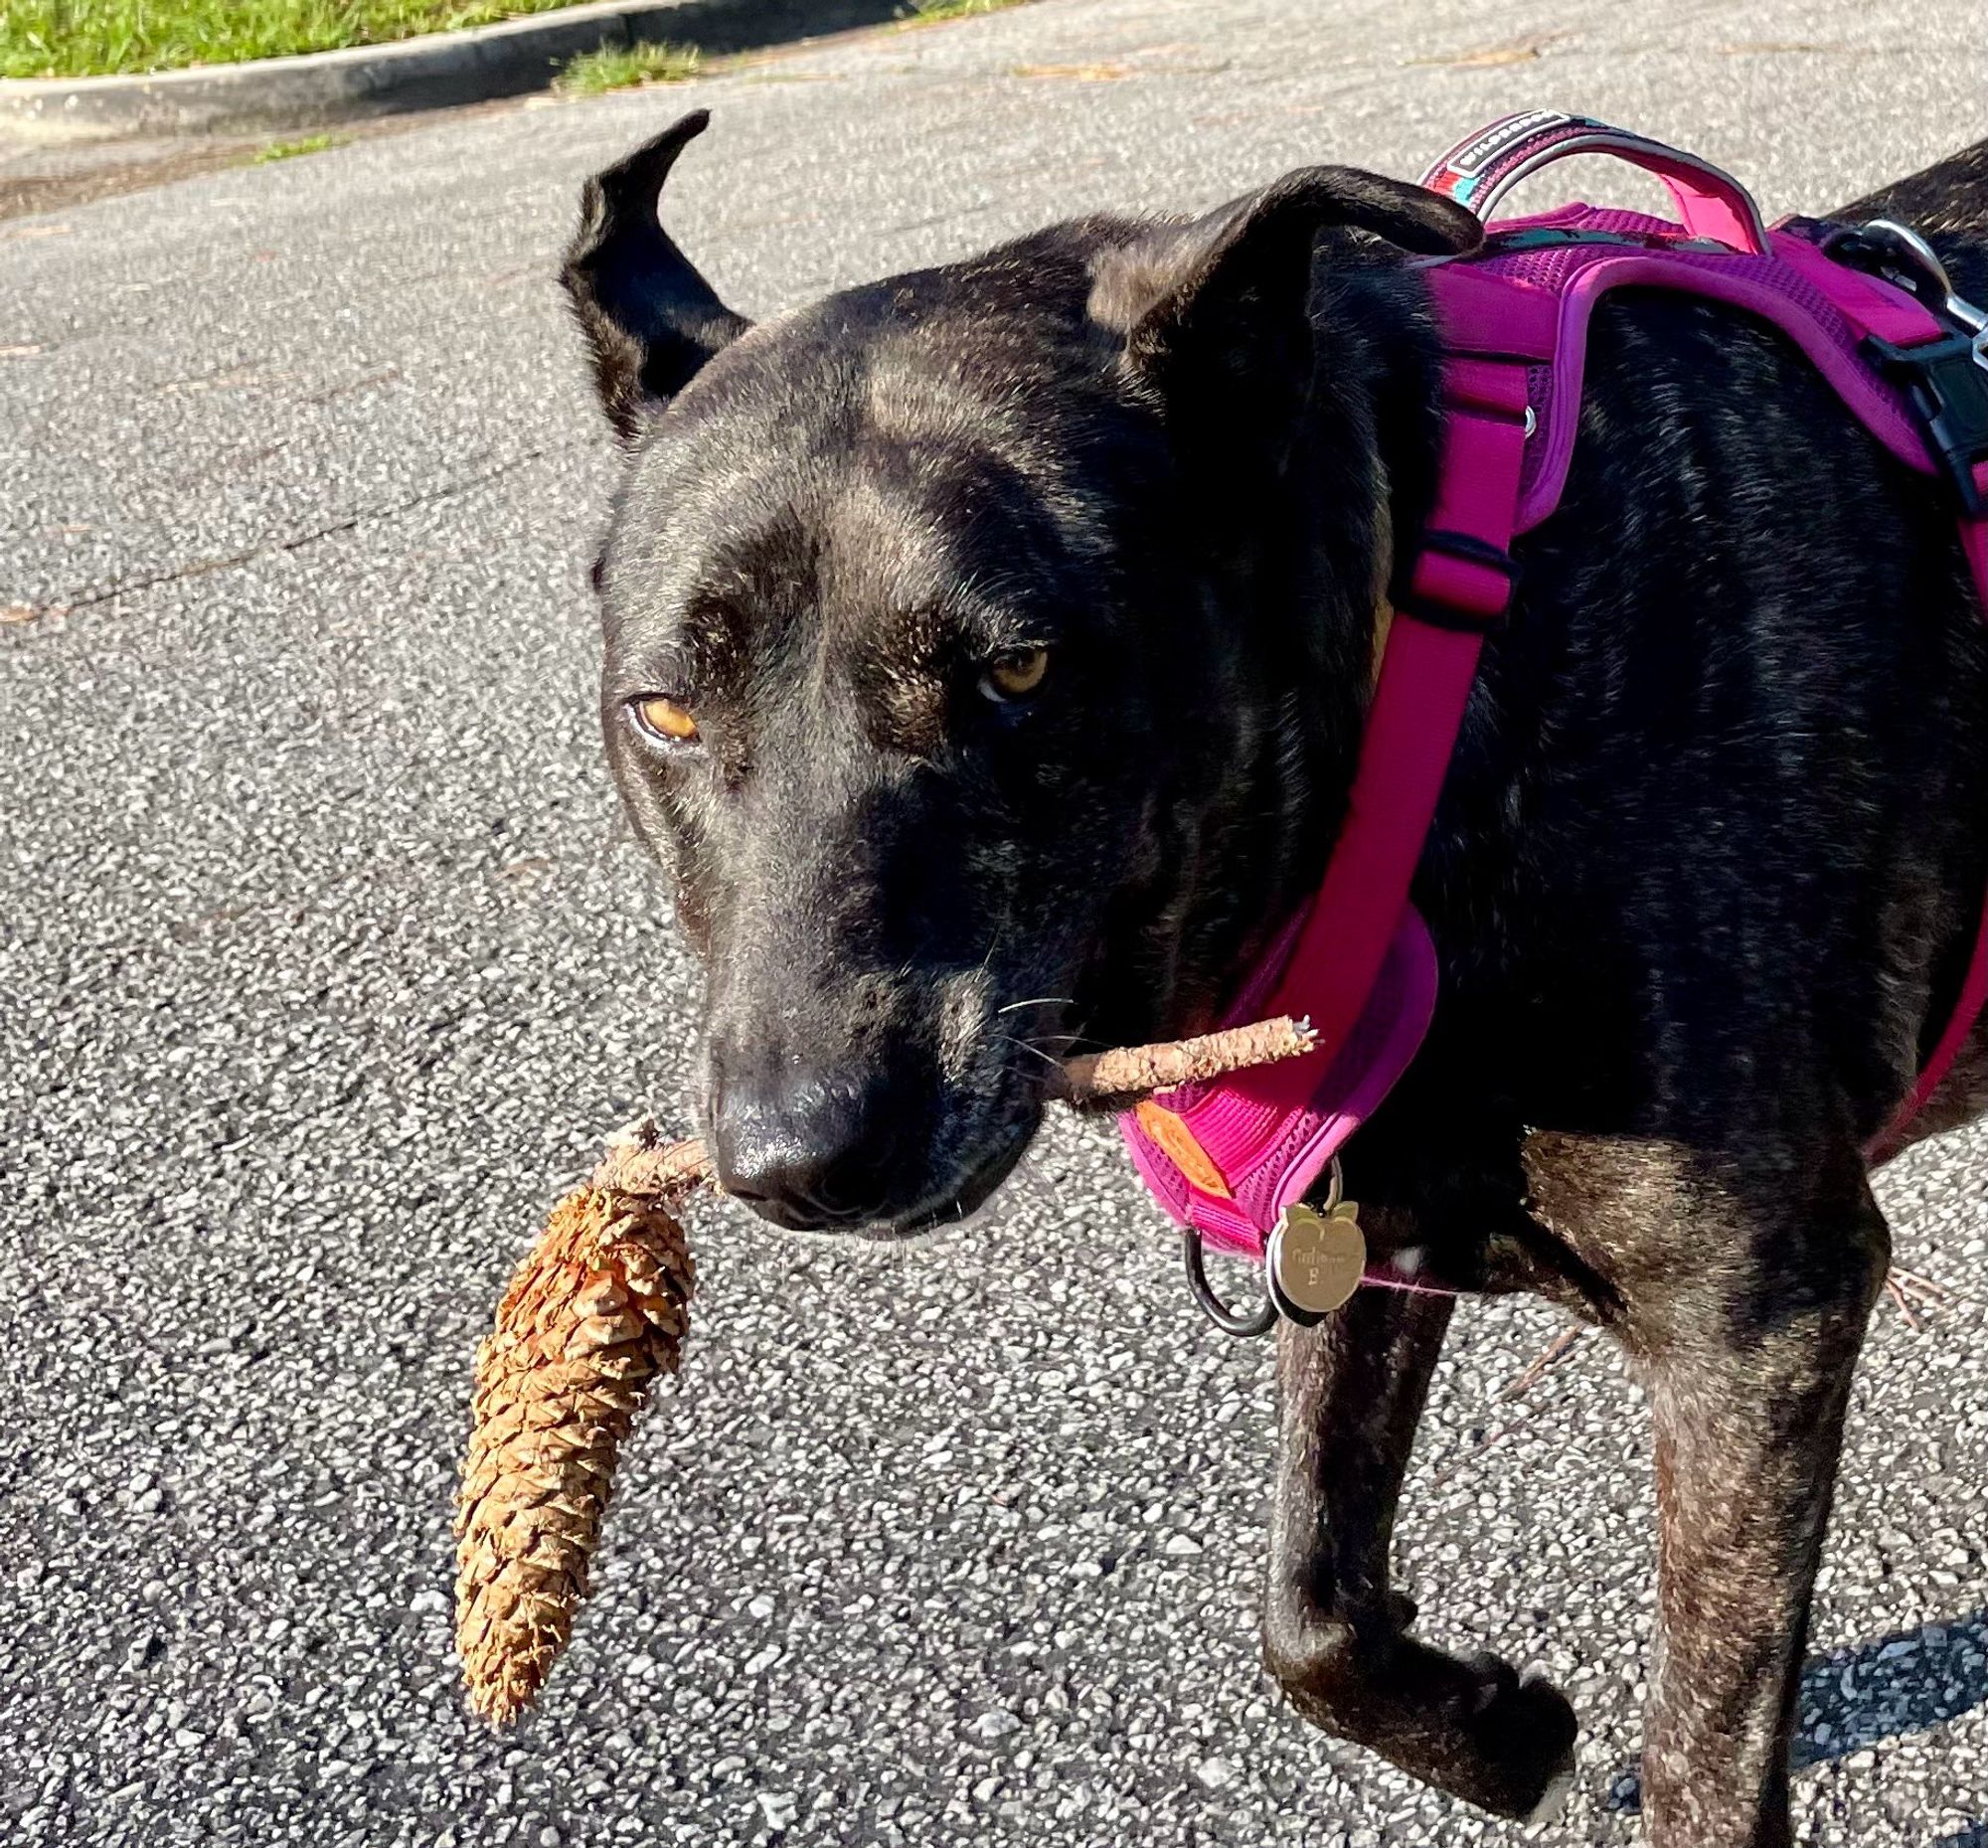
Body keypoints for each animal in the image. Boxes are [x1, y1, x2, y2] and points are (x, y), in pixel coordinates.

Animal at [557, 118, 1988, 1844]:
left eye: (1021, 667)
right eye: (666, 709)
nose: (801, 1154)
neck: (1439, 675)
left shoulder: (1759, 1321)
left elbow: (1708, 1756)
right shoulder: (1363, 1222)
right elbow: (1307, 1609)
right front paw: (1496, 1728)